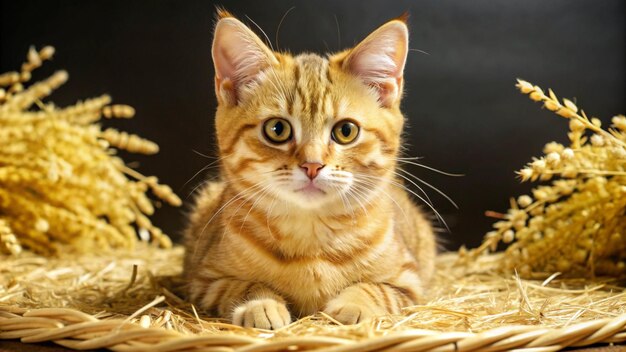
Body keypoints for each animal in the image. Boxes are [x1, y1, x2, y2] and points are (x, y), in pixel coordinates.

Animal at [183, 11, 432, 330]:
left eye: (346, 131)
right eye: (277, 129)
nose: (312, 164)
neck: (312, 243)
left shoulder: (410, 281)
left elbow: (376, 289)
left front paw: (355, 305)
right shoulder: (203, 279)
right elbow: (241, 286)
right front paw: (260, 305)